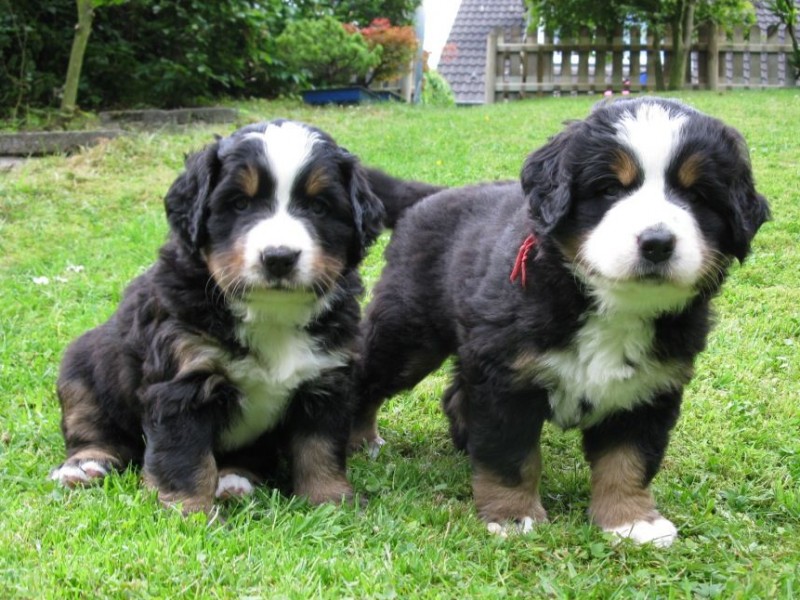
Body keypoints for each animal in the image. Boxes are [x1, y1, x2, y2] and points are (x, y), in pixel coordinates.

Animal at [50, 119, 439, 513]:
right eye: (239, 204)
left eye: (318, 207)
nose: (279, 257)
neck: (271, 313)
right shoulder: (182, 383)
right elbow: (185, 457)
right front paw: (190, 512)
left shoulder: (325, 379)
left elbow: (320, 448)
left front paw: (330, 500)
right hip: (82, 366)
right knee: (92, 427)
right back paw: (84, 466)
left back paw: (235, 481)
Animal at [350, 98, 770, 546]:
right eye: (609, 189)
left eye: (696, 195)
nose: (657, 243)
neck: (612, 307)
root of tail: (433, 195)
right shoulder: (507, 380)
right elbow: (511, 456)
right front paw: (513, 516)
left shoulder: (649, 388)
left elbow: (629, 460)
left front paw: (631, 520)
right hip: (408, 335)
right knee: (368, 379)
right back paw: (360, 440)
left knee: (457, 394)